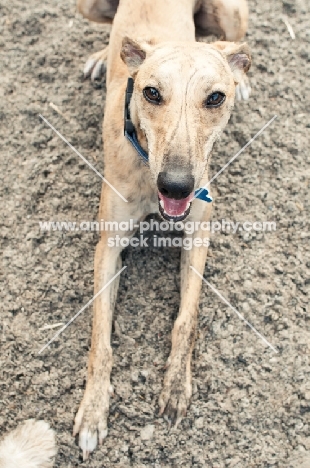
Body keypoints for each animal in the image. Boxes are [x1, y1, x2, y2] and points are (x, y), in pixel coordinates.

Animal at [74, 0, 251, 458]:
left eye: (215, 97)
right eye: (151, 92)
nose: (175, 186)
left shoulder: (198, 238)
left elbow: (185, 321)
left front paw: (175, 387)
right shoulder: (108, 247)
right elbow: (100, 338)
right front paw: (93, 410)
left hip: (232, 15)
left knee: (235, 46)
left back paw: (241, 72)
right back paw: (104, 56)